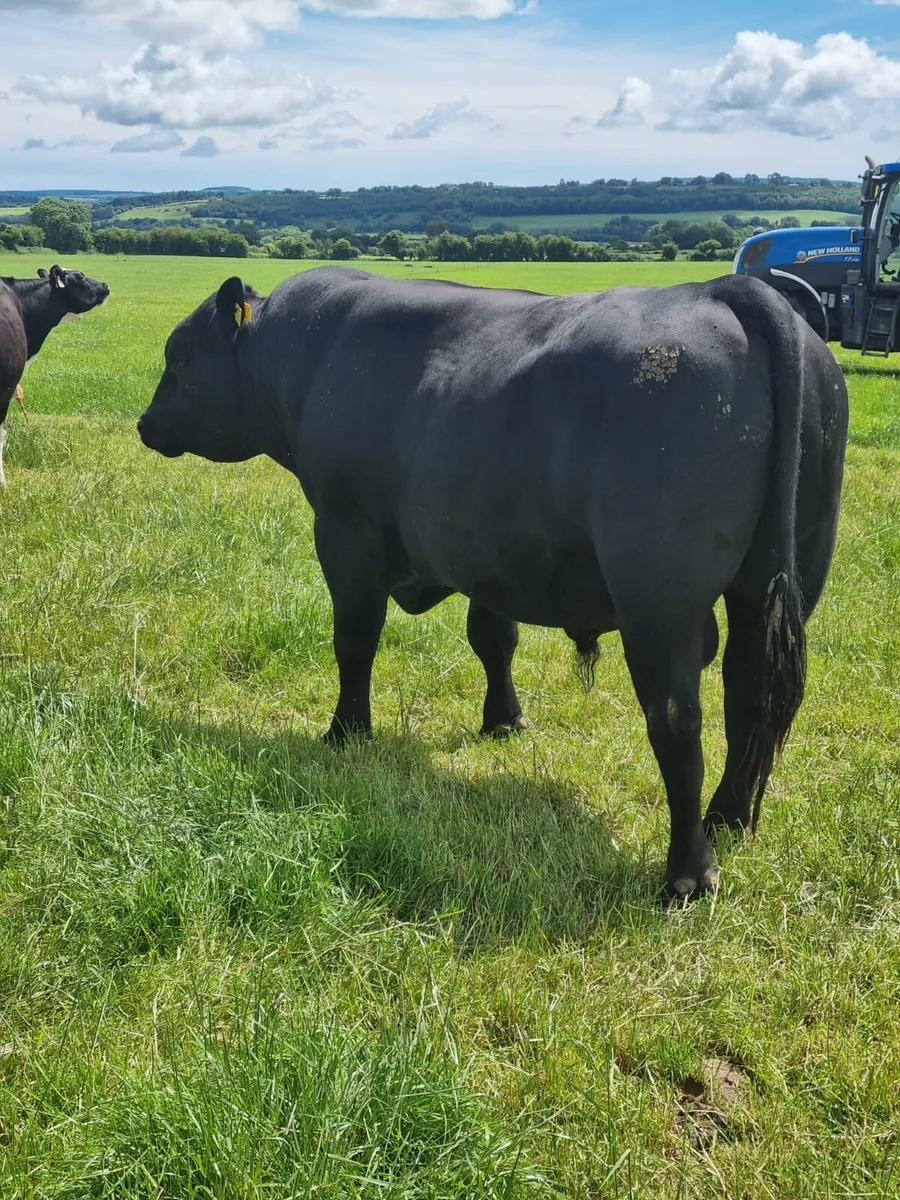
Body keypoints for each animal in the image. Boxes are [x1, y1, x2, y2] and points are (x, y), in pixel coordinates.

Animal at [138, 267, 848, 898]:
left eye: (181, 358)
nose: (145, 423)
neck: (306, 358)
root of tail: (726, 289)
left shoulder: (345, 529)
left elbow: (355, 639)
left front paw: (346, 732)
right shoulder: (487, 549)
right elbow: (492, 638)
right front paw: (503, 721)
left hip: (658, 599)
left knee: (677, 719)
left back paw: (688, 873)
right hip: (776, 581)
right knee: (749, 693)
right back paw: (727, 819)